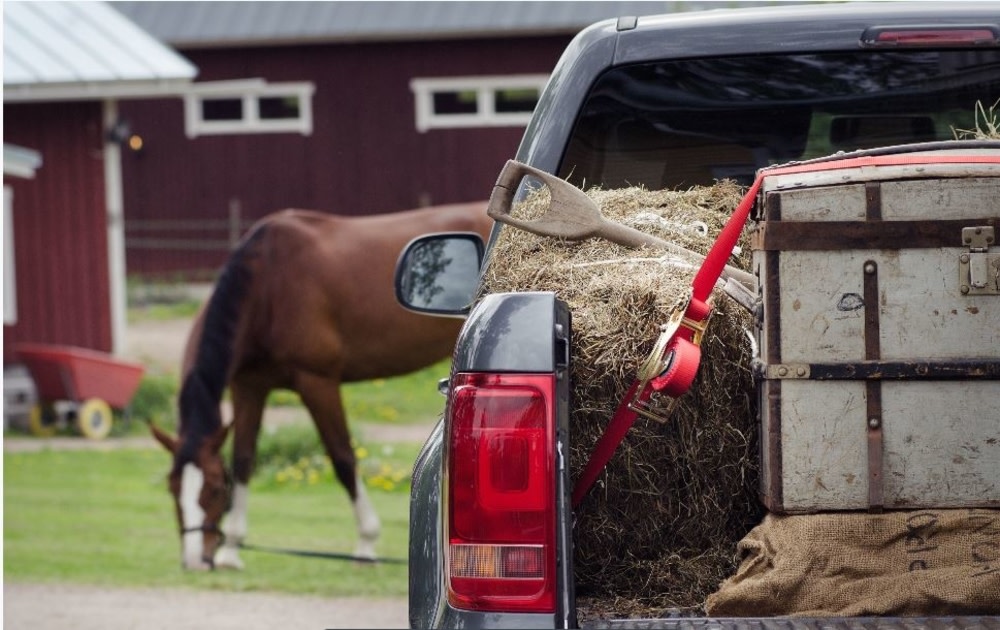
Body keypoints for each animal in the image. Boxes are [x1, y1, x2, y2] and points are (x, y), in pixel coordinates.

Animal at [150, 204, 490, 572]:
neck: (267, 285)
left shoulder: (317, 381)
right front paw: (232, 550)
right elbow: (243, 459)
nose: (195, 561)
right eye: (172, 488)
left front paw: (366, 544)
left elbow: (342, 457)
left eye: (213, 488)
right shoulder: (248, 386)